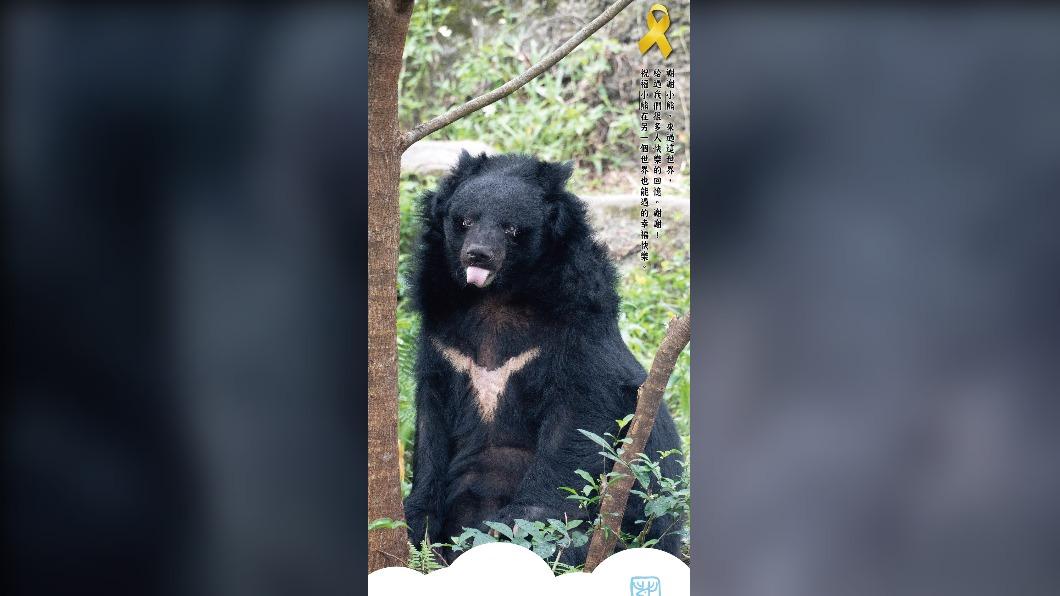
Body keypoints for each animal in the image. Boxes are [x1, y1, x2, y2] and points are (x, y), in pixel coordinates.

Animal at [403, 151, 684, 565]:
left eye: (511, 229)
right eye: (464, 221)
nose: (478, 255)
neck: (495, 299)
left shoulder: (576, 332)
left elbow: (576, 421)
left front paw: (521, 528)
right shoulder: (443, 342)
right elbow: (431, 424)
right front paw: (417, 522)